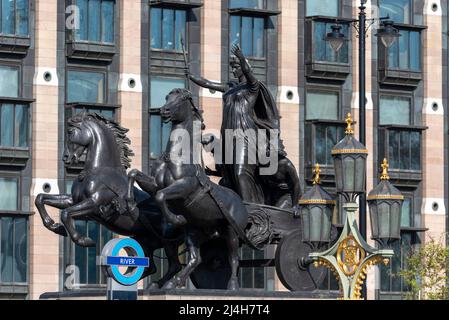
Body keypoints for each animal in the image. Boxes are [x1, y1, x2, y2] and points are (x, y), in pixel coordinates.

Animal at [34, 113, 183, 290]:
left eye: (70, 132)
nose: (66, 158)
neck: (99, 171)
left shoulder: (94, 204)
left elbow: (65, 213)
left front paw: (83, 240)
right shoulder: (73, 200)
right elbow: (41, 198)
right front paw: (55, 227)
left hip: (168, 241)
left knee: (175, 265)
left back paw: (160, 285)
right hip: (144, 239)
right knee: (151, 266)